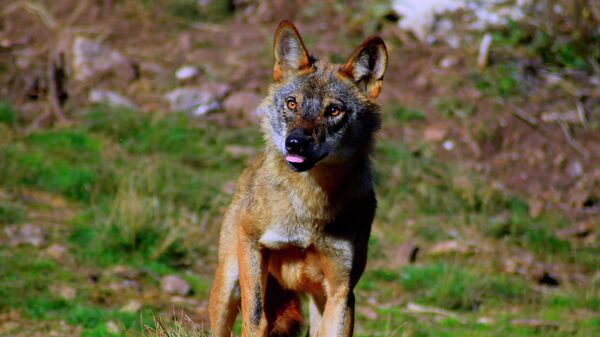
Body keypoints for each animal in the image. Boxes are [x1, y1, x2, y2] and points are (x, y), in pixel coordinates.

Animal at [210, 21, 390, 336]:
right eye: (292, 104)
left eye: (333, 110)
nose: (294, 143)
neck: (310, 205)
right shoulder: (252, 243)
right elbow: (255, 320)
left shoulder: (343, 290)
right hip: (228, 282)